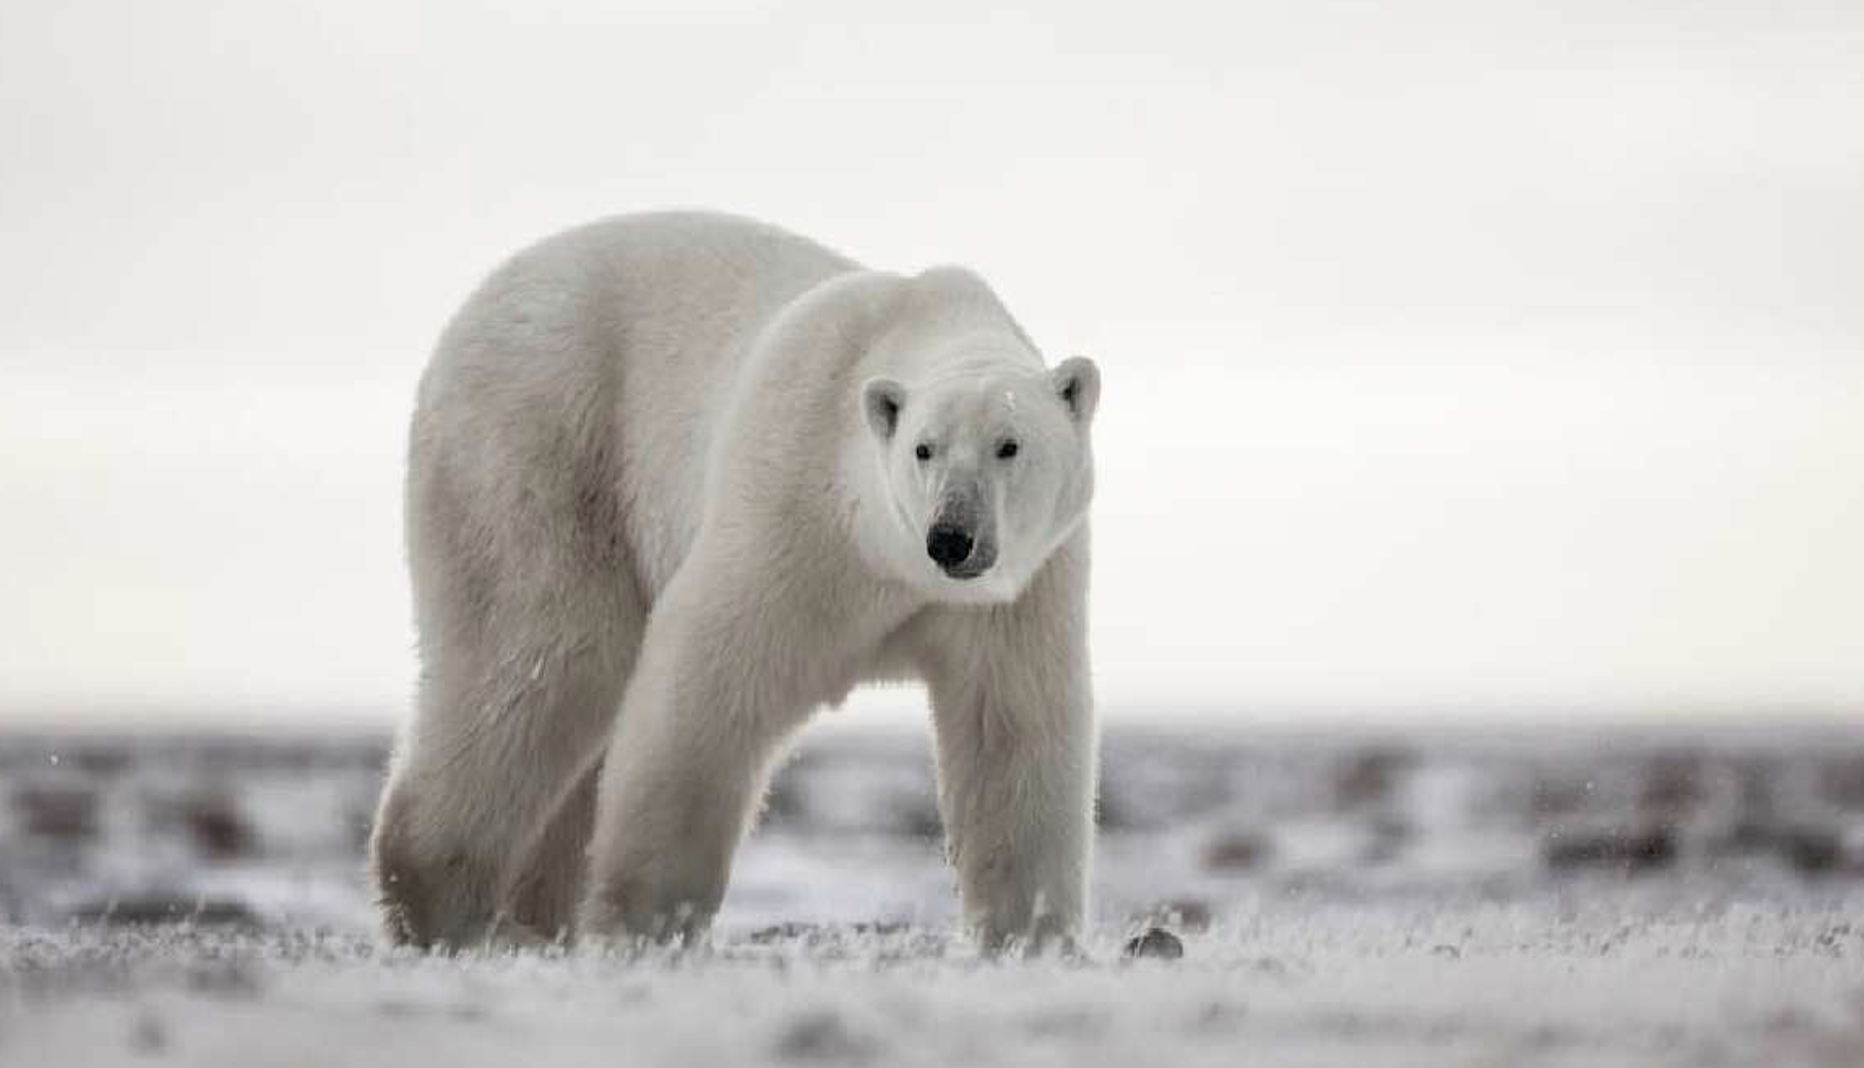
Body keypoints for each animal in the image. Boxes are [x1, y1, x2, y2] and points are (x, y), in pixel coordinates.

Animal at [369, 207, 1096, 950]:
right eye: (924, 448)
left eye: (1010, 445)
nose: (951, 537)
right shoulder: (794, 505)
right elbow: (708, 683)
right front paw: (646, 924)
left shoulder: (1019, 594)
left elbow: (1011, 728)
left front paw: (1029, 934)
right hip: (539, 443)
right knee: (547, 654)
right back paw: (453, 913)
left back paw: (535, 922)